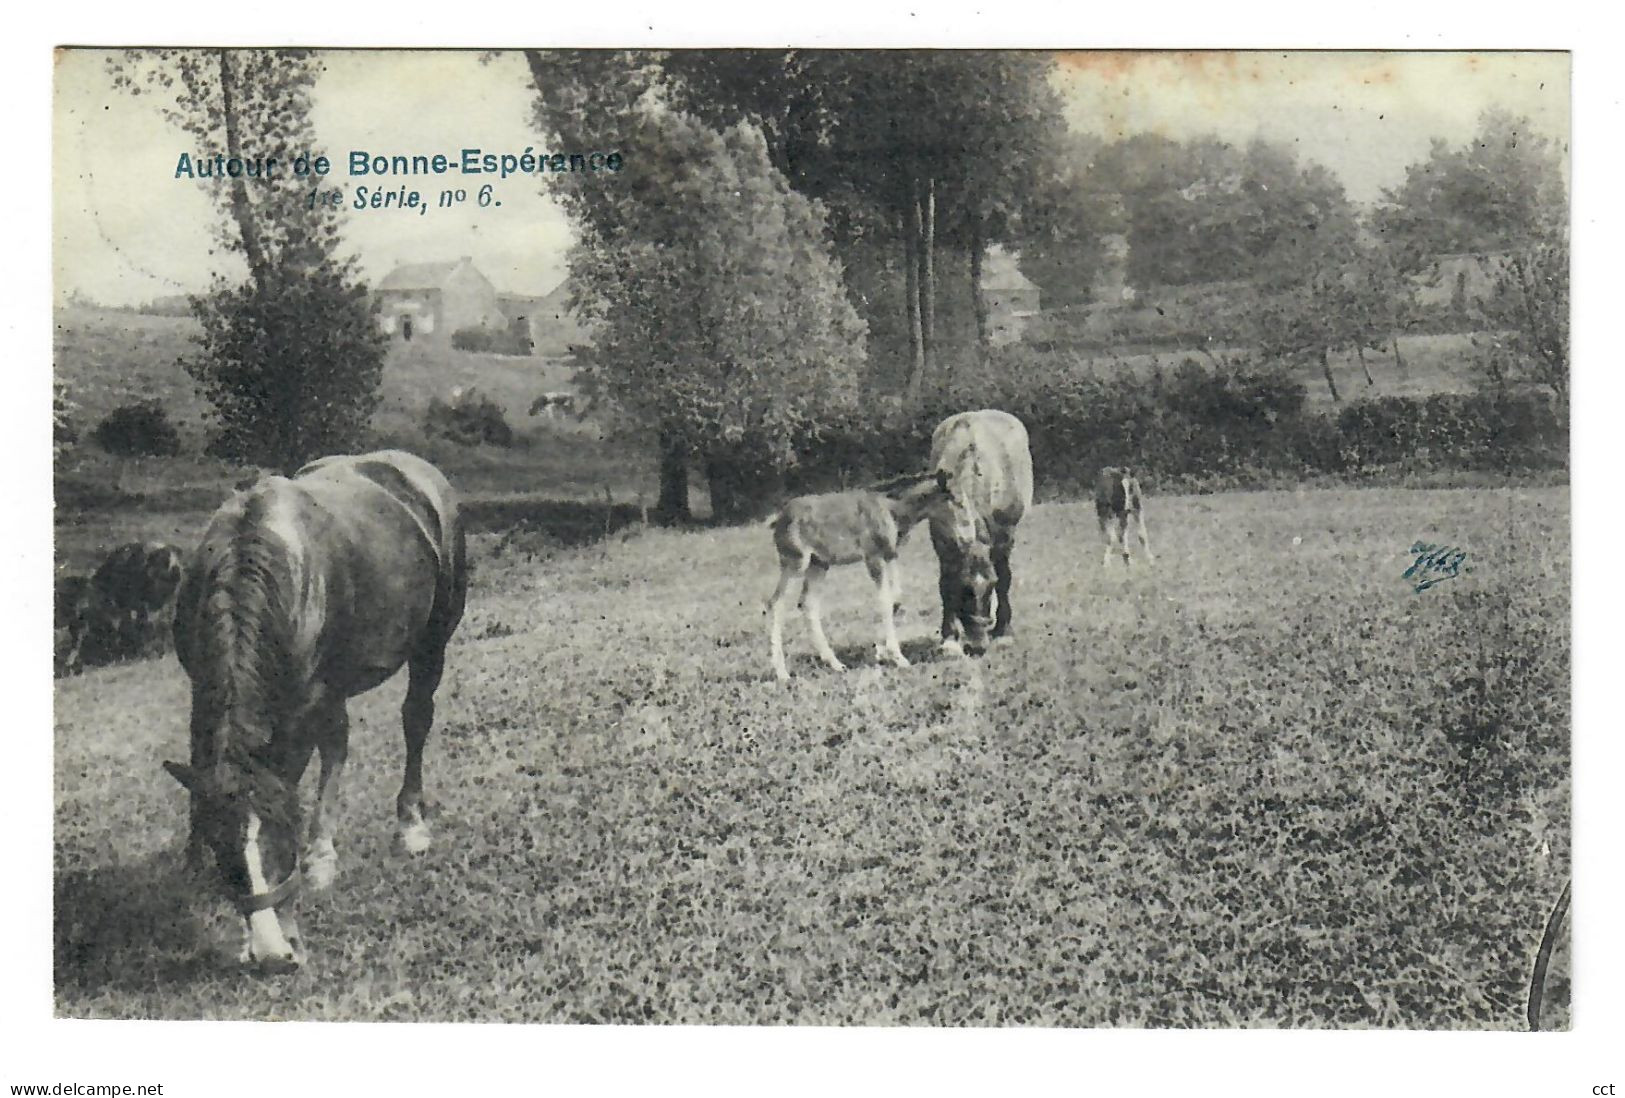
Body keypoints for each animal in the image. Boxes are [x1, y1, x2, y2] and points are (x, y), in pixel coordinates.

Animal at [165, 451, 468, 974]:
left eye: (284, 839)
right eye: (226, 852)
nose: (273, 955)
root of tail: (419, 471)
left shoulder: (301, 705)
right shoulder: (202, 688)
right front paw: (197, 864)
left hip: (431, 643)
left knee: (415, 721)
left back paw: (408, 825)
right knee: (337, 745)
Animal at [767, 471, 955, 678]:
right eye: (952, 500)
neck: (895, 511)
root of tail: (777, 522)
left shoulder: (890, 555)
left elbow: (895, 598)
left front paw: (881, 651)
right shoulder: (872, 556)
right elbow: (884, 600)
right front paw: (898, 657)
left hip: (819, 563)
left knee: (807, 603)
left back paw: (836, 664)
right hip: (796, 561)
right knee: (776, 602)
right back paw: (782, 672)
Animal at [929, 409, 1027, 652]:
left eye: (990, 586)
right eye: (964, 590)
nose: (977, 646)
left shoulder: (1004, 537)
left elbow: (1004, 579)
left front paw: (1003, 632)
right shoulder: (942, 541)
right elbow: (945, 583)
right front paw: (950, 639)